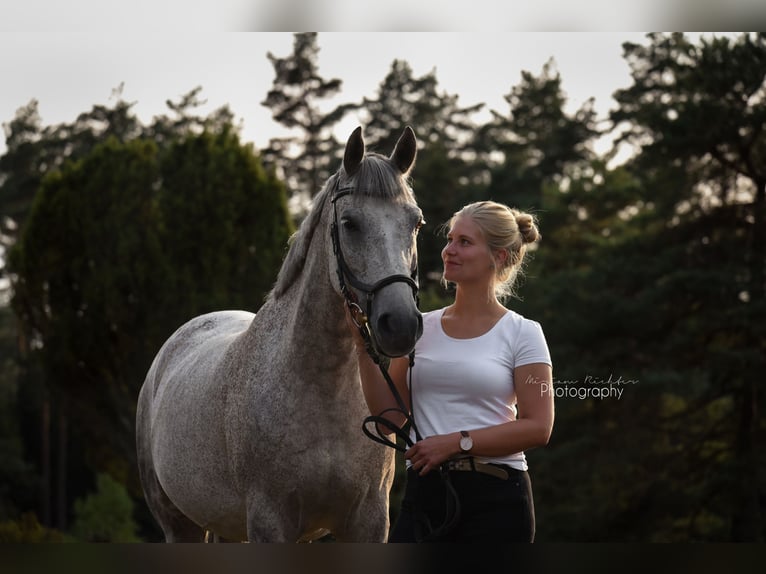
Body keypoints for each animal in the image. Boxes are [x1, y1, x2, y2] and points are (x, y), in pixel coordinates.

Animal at [136, 126, 424, 542]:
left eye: (415, 223)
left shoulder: (368, 520)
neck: (322, 389)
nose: (400, 323)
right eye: (350, 224)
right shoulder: (270, 520)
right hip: (179, 524)